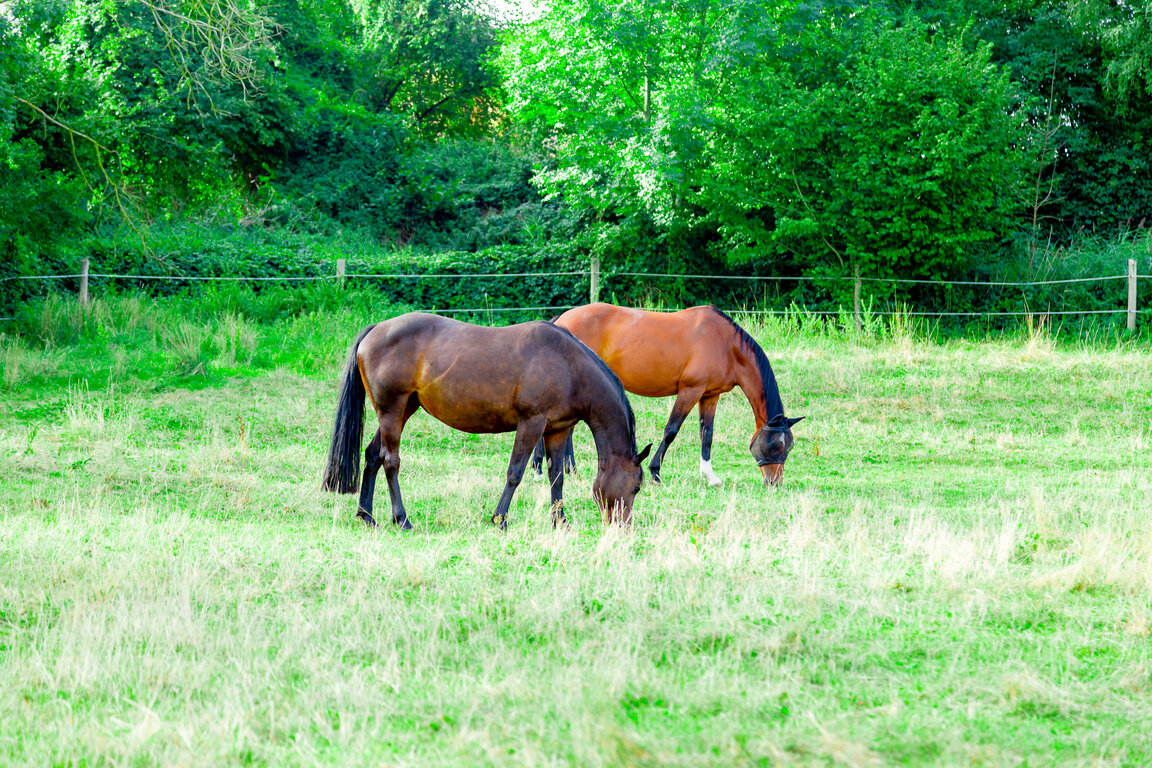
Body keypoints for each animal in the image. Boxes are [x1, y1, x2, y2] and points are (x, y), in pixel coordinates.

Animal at [322, 312, 652, 530]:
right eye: (636, 487)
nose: (623, 527)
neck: (569, 366)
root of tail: (376, 330)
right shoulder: (531, 423)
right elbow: (515, 473)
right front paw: (500, 519)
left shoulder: (557, 430)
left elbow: (556, 477)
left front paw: (561, 522)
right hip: (393, 411)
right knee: (390, 461)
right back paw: (402, 519)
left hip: (401, 411)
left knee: (372, 456)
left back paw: (366, 515)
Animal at [532, 303, 802, 487]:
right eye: (776, 445)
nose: (774, 482)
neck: (726, 346)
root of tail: (563, 319)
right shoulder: (690, 391)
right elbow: (671, 430)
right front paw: (655, 472)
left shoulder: (709, 395)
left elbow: (707, 435)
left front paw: (710, 476)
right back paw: (545, 469)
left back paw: (567, 469)